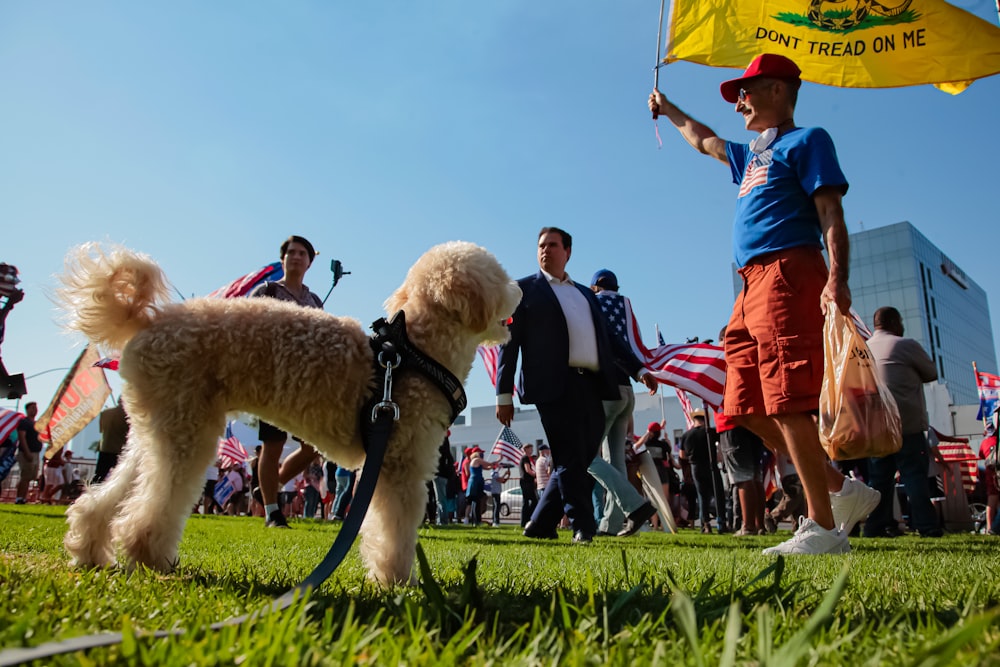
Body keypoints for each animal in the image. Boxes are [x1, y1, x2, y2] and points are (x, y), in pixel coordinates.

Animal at [60, 240, 524, 584]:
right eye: (501, 277)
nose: (521, 291)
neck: (412, 352)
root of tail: (145, 321)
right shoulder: (400, 465)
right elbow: (395, 531)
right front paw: (397, 582)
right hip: (187, 430)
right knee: (153, 504)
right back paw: (149, 556)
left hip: (156, 427)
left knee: (110, 494)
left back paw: (91, 551)